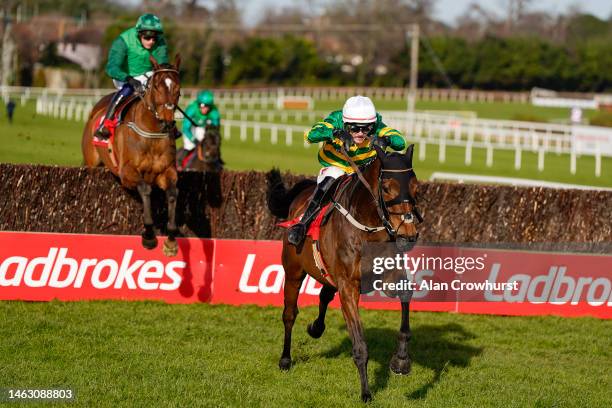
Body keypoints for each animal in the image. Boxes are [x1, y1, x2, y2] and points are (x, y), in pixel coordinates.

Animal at [81, 56, 182, 256]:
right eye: (156, 86)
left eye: (178, 89)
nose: (168, 122)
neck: (151, 134)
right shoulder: (127, 172)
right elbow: (145, 189)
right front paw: (149, 235)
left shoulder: (167, 172)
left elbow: (173, 193)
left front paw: (171, 241)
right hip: (92, 162)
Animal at [268, 143, 420, 402]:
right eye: (387, 188)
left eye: (416, 188)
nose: (408, 235)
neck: (368, 230)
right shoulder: (349, 286)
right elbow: (360, 343)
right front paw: (366, 391)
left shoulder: (389, 277)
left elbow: (405, 299)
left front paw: (401, 360)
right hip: (294, 271)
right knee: (289, 314)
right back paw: (285, 359)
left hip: (327, 273)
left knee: (324, 295)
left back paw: (316, 328)